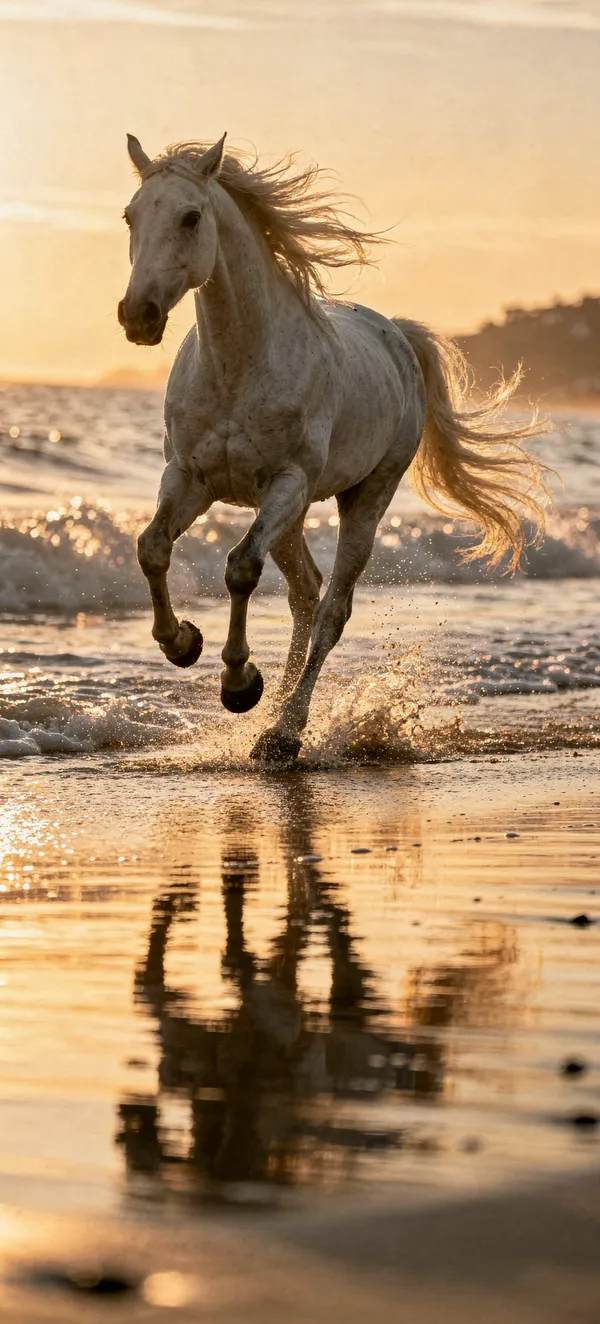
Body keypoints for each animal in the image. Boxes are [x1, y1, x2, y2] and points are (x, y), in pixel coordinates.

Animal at [118, 132, 547, 764]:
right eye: (131, 215)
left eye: (191, 216)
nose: (138, 316)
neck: (238, 364)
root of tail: (397, 337)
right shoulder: (189, 478)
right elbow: (151, 548)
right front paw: (183, 644)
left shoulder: (289, 482)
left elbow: (240, 569)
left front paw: (238, 683)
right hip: (287, 515)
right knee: (305, 593)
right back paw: (273, 712)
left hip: (362, 498)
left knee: (330, 609)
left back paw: (282, 731)